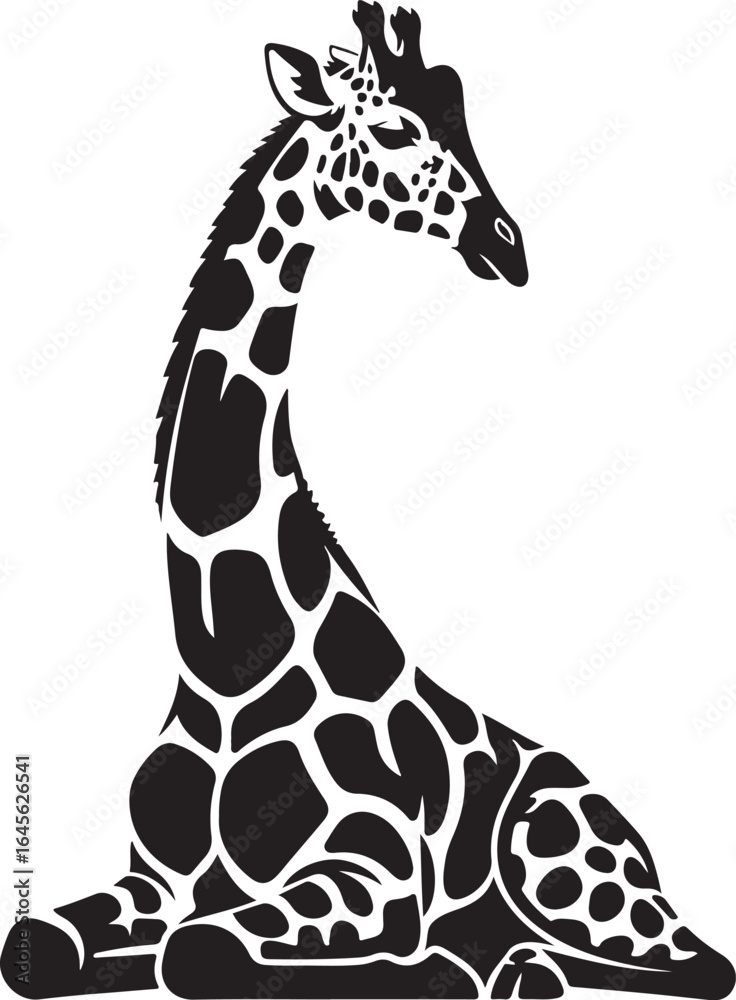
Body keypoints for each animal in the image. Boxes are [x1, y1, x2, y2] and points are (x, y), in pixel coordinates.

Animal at [3, 5, 734, 999]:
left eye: (462, 117)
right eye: (392, 129)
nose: (507, 244)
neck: (225, 664)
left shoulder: (375, 873)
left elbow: (209, 951)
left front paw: (443, 963)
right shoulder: (152, 880)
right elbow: (39, 943)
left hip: (564, 864)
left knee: (699, 961)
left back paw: (520, 963)